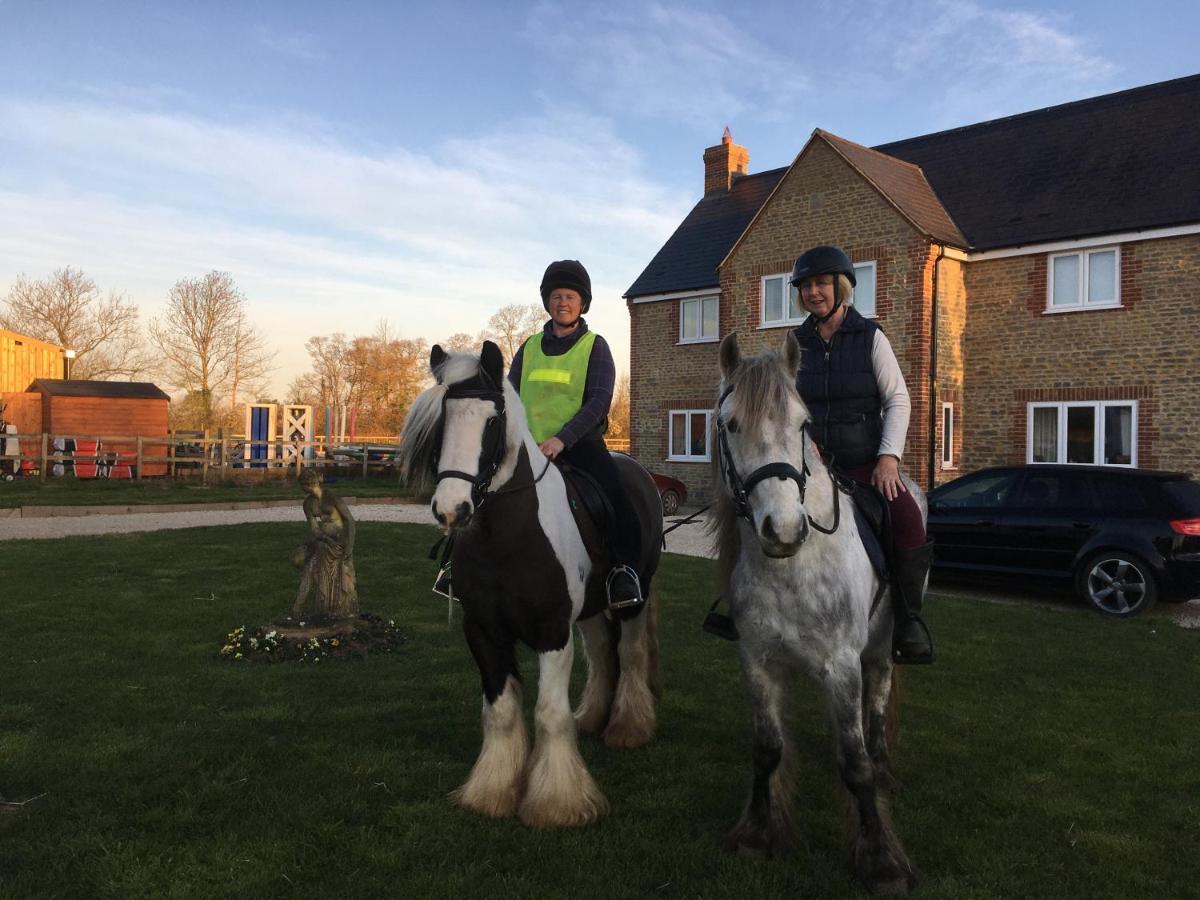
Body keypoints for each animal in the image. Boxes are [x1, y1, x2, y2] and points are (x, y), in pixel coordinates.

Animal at [400, 340, 667, 830]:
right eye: (443, 420)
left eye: (493, 421)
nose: (452, 509)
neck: (507, 536)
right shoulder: (483, 631)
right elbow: (502, 711)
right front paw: (491, 793)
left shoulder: (551, 632)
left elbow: (548, 713)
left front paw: (558, 804)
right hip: (591, 609)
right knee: (603, 654)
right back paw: (592, 719)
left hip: (631, 599)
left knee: (630, 655)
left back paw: (628, 728)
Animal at [705, 333, 921, 900]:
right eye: (731, 425)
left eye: (803, 424)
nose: (782, 529)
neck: (793, 567)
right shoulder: (757, 662)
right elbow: (766, 749)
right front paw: (758, 836)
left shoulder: (841, 666)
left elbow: (855, 763)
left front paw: (880, 860)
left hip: (881, 647)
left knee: (877, 703)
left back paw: (886, 770)